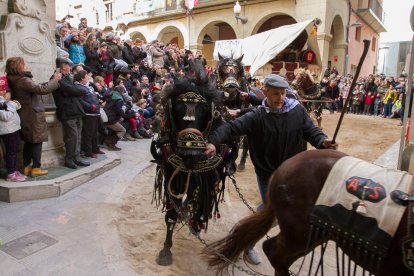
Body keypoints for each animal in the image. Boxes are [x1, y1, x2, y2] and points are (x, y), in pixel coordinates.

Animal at [151, 59, 226, 266]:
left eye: (205, 110)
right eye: (177, 109)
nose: (191, 152)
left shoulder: (207, 177)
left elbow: (202, 201)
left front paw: (196, 224)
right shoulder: (173, 175)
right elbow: (170, 215)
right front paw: (165, 251)